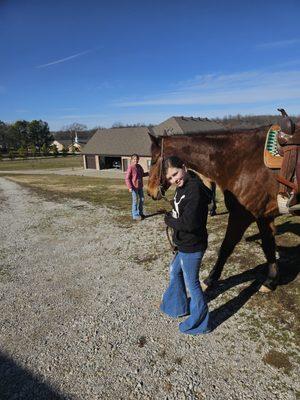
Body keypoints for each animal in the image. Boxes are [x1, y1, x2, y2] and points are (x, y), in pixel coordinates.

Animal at [146, 126, 282, 292]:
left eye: (153, 160)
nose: (150, 191)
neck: (242, 162)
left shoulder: (241, 217)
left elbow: (226, 247)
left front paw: (210, 279)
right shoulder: (264, 216)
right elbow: (268, 245)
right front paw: (271, 281)